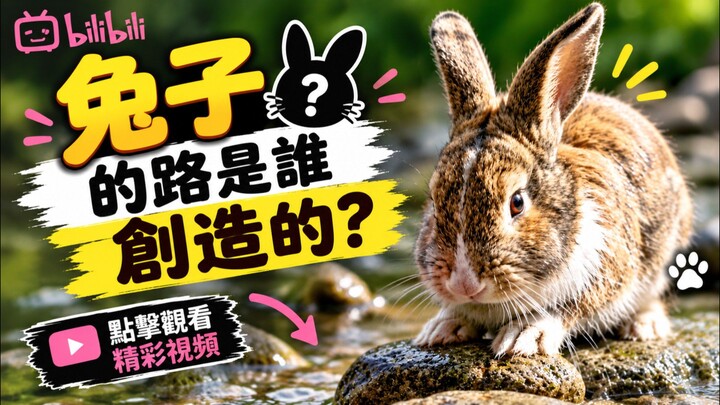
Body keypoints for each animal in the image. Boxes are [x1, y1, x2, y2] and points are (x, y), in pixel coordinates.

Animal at [413, 3, 694, 357]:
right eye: (434, 202)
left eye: (517, 203)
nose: (464, 283)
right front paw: (441, 328)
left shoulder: (606, 269)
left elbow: (567, 309)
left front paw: (523, 336)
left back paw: (645, 326)